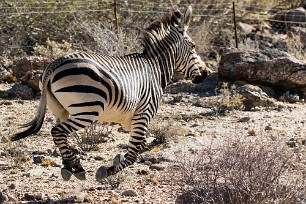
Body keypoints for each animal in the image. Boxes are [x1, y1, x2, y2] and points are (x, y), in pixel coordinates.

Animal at [11, 6, 208, 181]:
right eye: (193, 46)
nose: (205, 74)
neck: (155, 68)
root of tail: (55, 64)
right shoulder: (143, 114)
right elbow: (133, 154)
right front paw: (106, 171)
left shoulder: (129, 120)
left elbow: (143, 147)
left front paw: (116, 160)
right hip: (87, 109)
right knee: (57, 131)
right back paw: (77, 167)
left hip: (60, 109)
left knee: (60, 135)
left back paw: (69, 166)